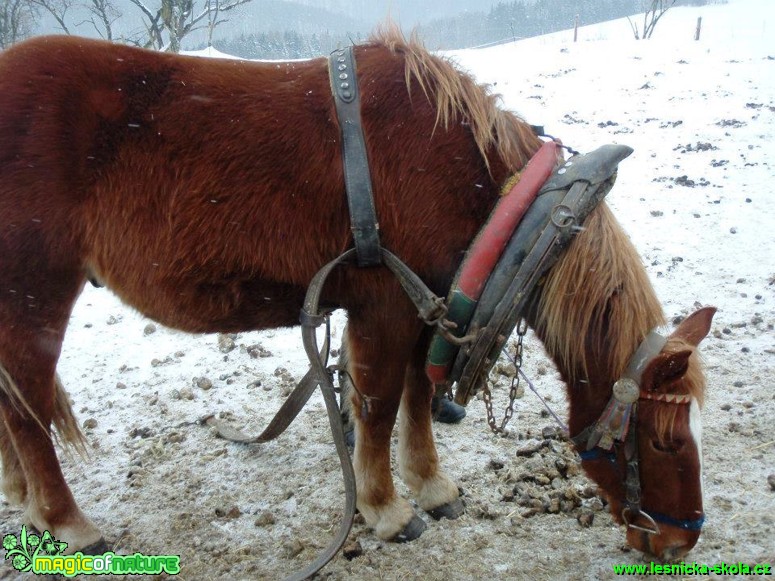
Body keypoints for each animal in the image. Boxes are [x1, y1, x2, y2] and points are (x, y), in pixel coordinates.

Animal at [0, 24, 716, 564]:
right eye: (663, 442)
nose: (679, 542)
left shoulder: (431, 305)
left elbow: (419, 398)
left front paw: (431, 486)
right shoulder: (385, 305)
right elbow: (378, 405)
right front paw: (385, 508)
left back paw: (23, 499)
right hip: (33, 295)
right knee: (29, 409)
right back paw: (66, 520)